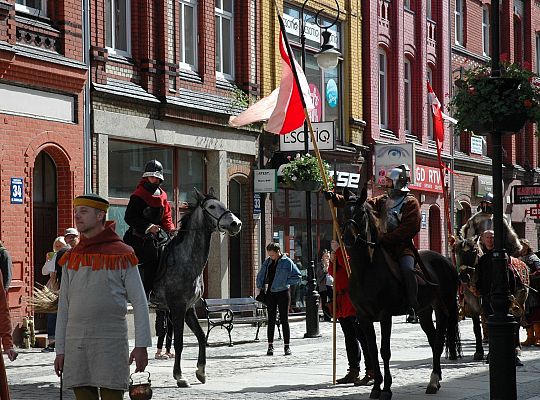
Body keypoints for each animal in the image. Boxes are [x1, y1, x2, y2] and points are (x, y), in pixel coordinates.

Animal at [152, 188, 240, 388]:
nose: (236, 223)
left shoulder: (188, 308)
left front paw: (201, 371)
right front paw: (179, 376)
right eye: (212, 206)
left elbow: (201, 336)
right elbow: (178, 342)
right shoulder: (176, 308)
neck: (185, 259)